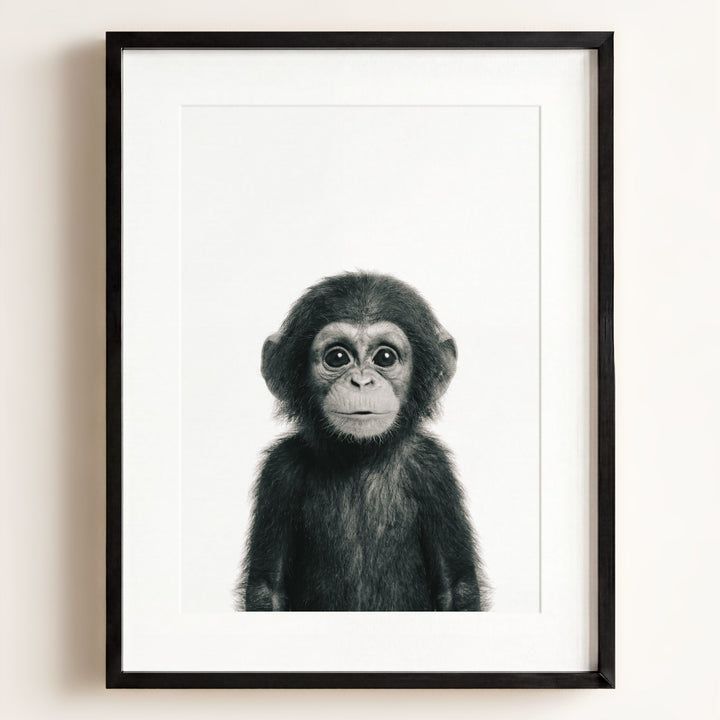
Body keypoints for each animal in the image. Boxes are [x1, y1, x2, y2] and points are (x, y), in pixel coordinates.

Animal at [237, 272, 490, 611]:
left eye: (385, 357)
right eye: (337, 357)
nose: (361, 381)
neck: (360, 454)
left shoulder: (434, 469)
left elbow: (457, 587)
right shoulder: (279, 471)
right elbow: (267, 588)